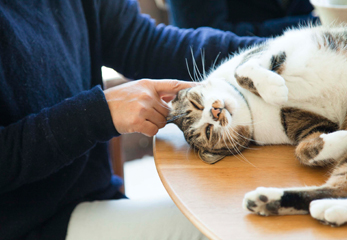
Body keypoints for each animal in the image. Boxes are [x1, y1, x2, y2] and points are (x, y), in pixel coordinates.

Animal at [168, 24, 347, 227]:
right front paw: (342, 137)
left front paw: (273, 89)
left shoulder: (266, 50)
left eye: (196, 104)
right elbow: (303, 150)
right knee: (336, 189)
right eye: (208, 131)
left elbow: (241, 69)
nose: (215, 112)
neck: (250, 104)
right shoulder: (304, 123)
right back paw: (273, 202)